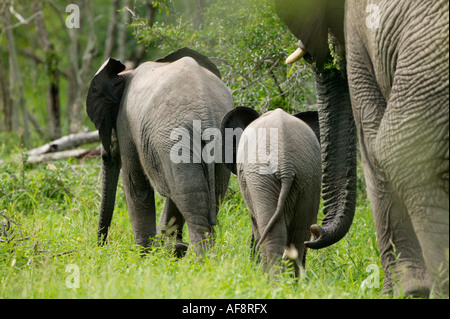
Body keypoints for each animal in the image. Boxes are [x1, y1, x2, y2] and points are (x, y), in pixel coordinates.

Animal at [85, 47, 234, 256]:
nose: (101, 246)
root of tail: (206, 111)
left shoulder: (125, 124)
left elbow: (136, 185)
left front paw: (145, 256)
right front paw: (166, 249)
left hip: (174, 138)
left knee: (190, 198)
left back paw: (199, 260)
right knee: (208, 194)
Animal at [221, 107, 320, 278]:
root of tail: (286, 166)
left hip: (261, 178)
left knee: (272, 232)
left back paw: (275, 281)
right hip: (308, 175)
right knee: (300, 234)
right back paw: (295, 282)